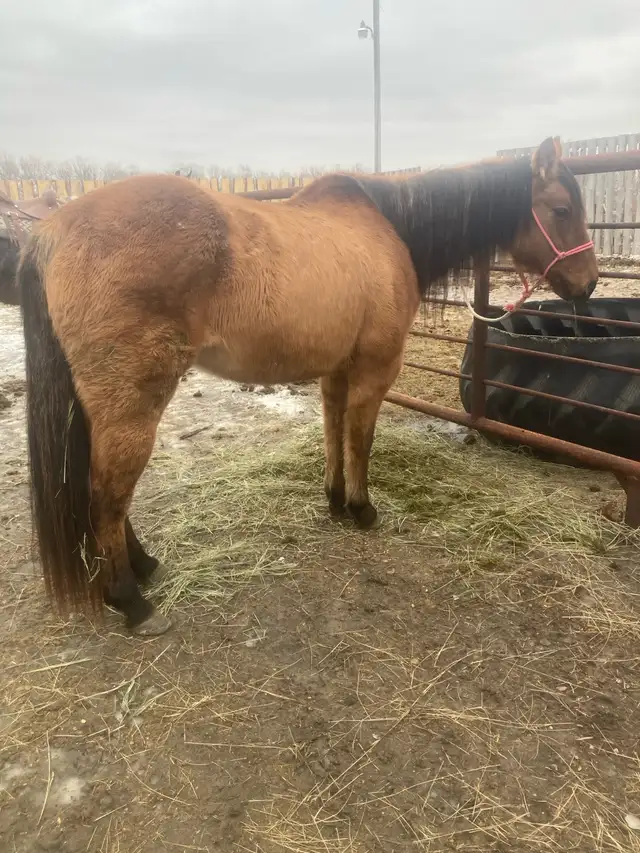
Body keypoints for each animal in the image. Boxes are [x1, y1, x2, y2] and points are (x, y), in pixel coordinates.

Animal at [19, 136, 598, 636]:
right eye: (561, 209)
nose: (588, 284)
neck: (387, 231)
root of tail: (52, 233)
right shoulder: (375, 368)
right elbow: (360, 438)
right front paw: (363, 509)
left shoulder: (335, 371)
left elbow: (333, 430)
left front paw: (336, 500)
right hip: (133, 403)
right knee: (106, 495)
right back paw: (132, 601)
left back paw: (144, 567)